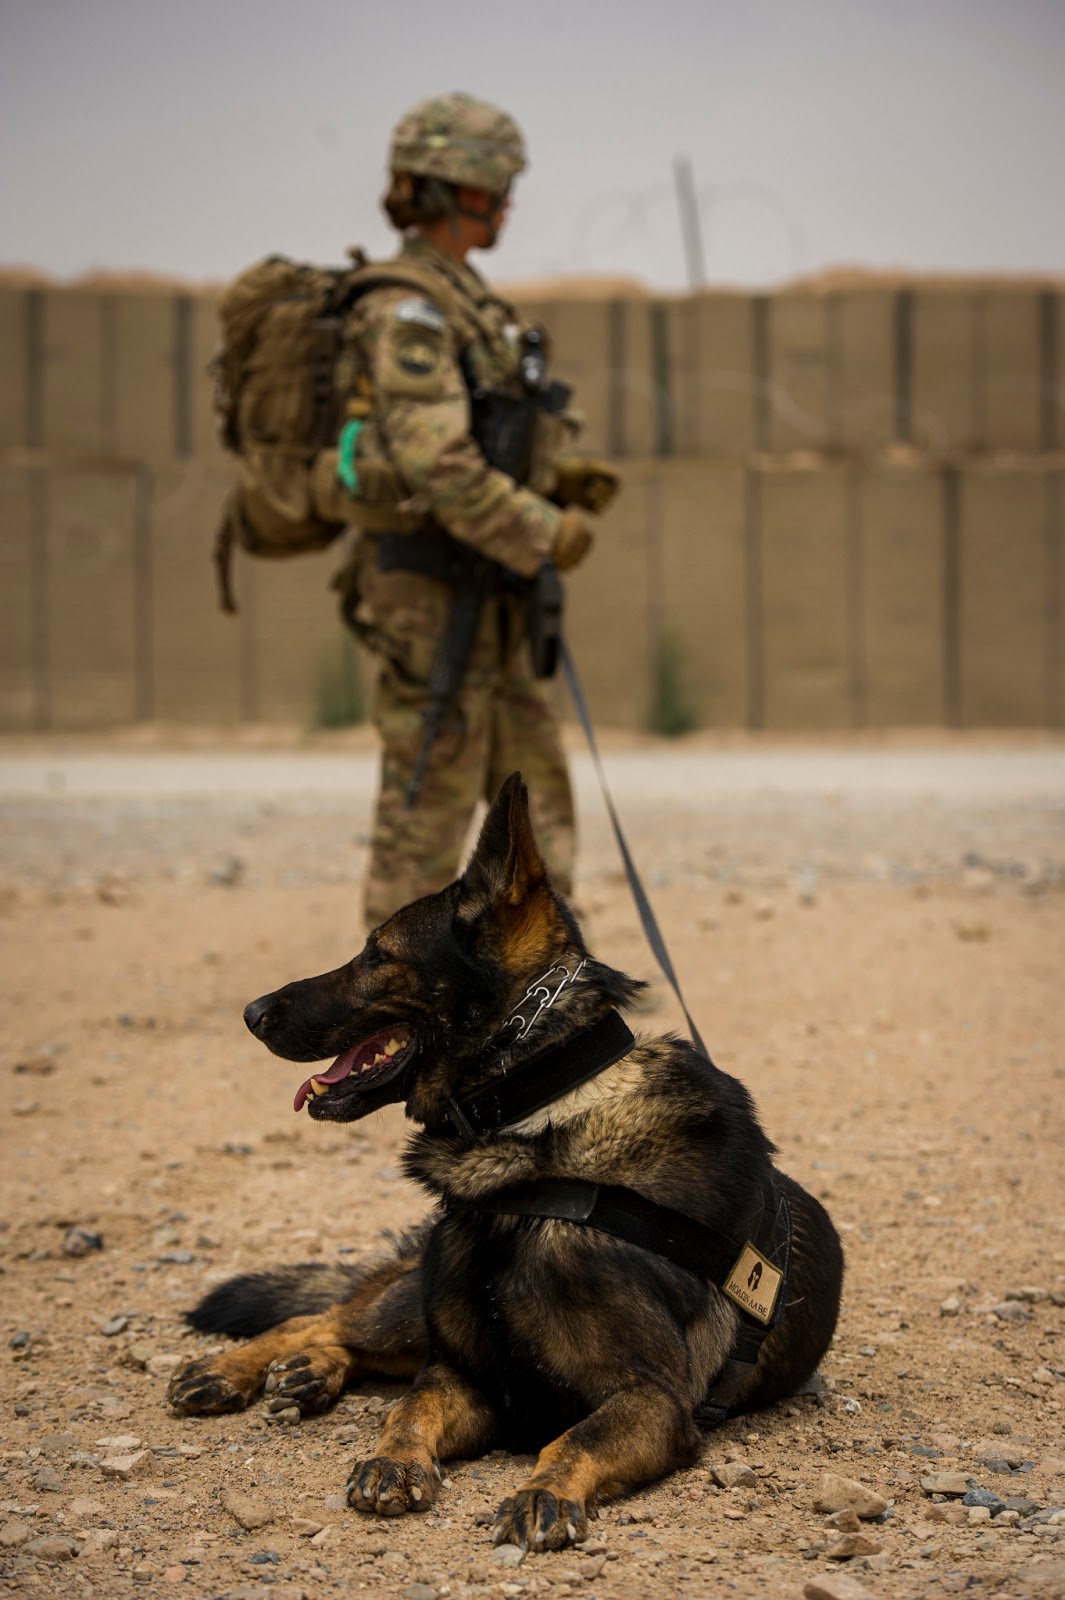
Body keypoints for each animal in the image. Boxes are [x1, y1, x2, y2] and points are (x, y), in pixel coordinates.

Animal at [170, 774, 844, 1548]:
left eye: (377, 955)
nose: (252, 1013)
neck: (537, 1123)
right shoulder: (467, 1375)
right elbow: (409, 1409)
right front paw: (394, 1461)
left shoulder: (653, 1399)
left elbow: (573, 1438)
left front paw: (541, 1493)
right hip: (411, 1305)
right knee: (320, 1318)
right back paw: (238, 1368)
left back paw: (309, 1372)